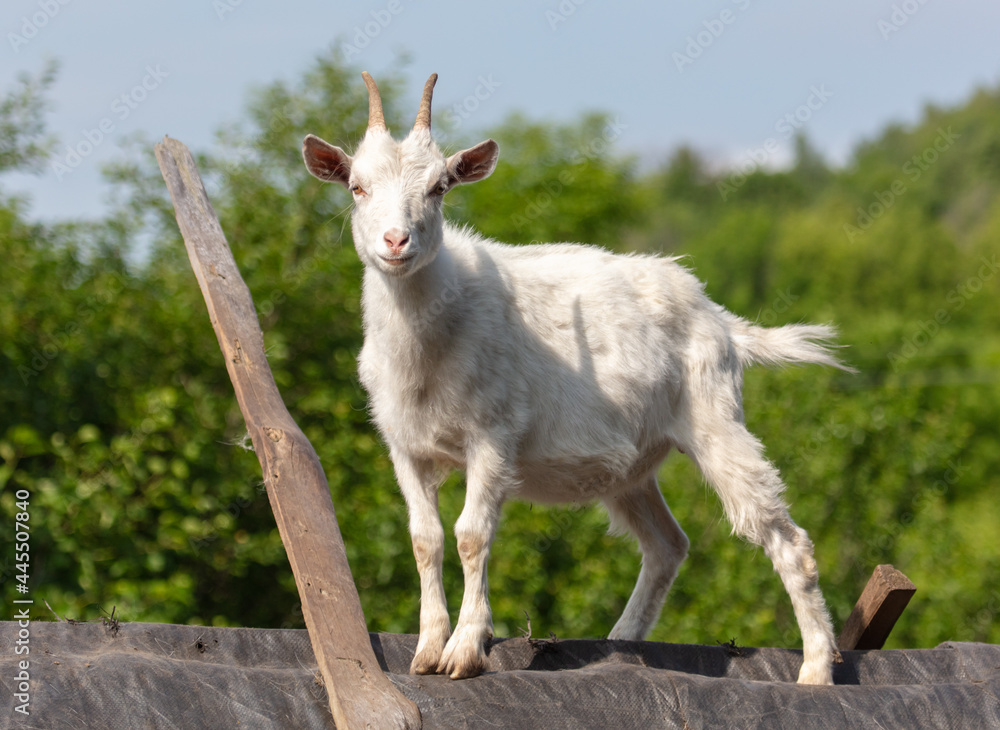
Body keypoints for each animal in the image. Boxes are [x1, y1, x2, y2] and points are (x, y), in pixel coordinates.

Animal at [302, 72, 851, 685]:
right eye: (356, 187)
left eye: (440, 186)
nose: (397, 242)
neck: (433, 337)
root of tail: (723, 321)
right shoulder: (406, 446)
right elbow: (426, 539)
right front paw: (425, 651)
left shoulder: (493, 435)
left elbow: (471, 534)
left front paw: (465, 651)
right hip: (635, 466)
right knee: (668, 543)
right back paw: (622, 642)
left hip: (716, 418)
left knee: (787, 540)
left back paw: (815, 669)